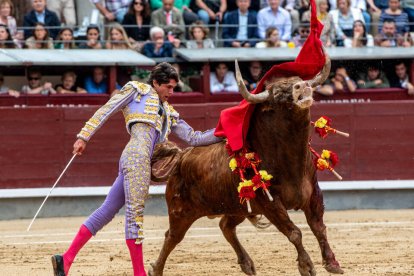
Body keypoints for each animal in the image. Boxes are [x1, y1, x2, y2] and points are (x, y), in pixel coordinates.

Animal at [149, 52, 342, 276]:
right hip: (180, 211)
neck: (290, 160)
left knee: (225, 225)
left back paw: (247, 264)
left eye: (298, 79)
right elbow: (294, 232)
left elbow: (318, 227)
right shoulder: (269, 203)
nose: (302, 86)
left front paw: (332, 263)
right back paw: (156, 270)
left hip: (238, 207)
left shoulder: (313, 195)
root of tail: (182, 156)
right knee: (172, 237)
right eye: (277, 92)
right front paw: (307, 266)